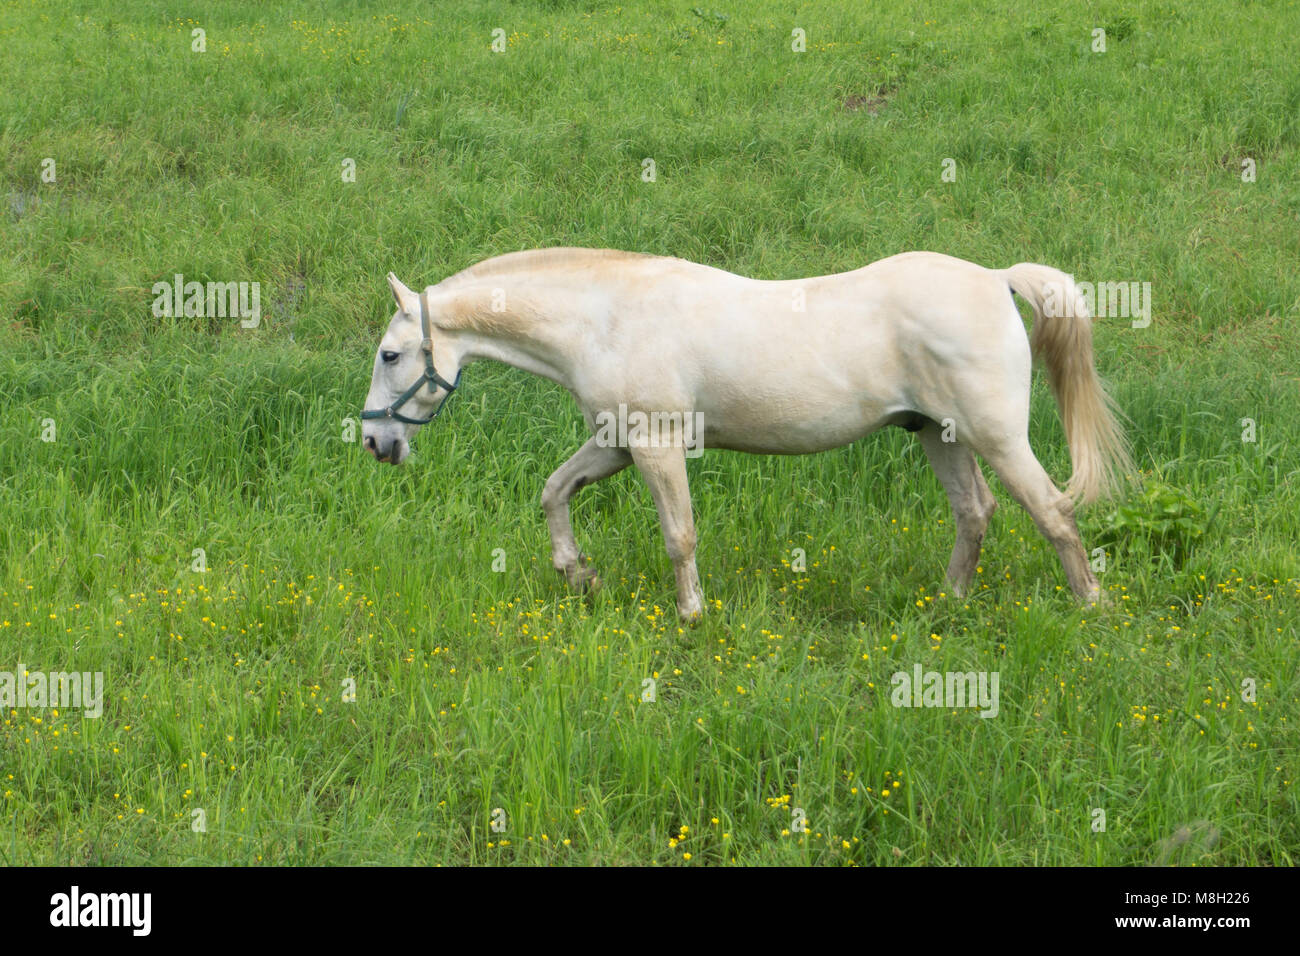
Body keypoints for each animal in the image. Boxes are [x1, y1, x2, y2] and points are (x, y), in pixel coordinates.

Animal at [361, 248, 1132, 619]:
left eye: (390, 355)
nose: (375, 444)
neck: (606, 318)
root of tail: (997, 280)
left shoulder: (656, 445)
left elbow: (680, 536)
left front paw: (692, 616)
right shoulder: (616, 444)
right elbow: (554, 491)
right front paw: (578, 574)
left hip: (995, 439)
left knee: (1053, 513)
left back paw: (1092, 610)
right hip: (937, 435)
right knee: (976, 514)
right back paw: (948, 604)